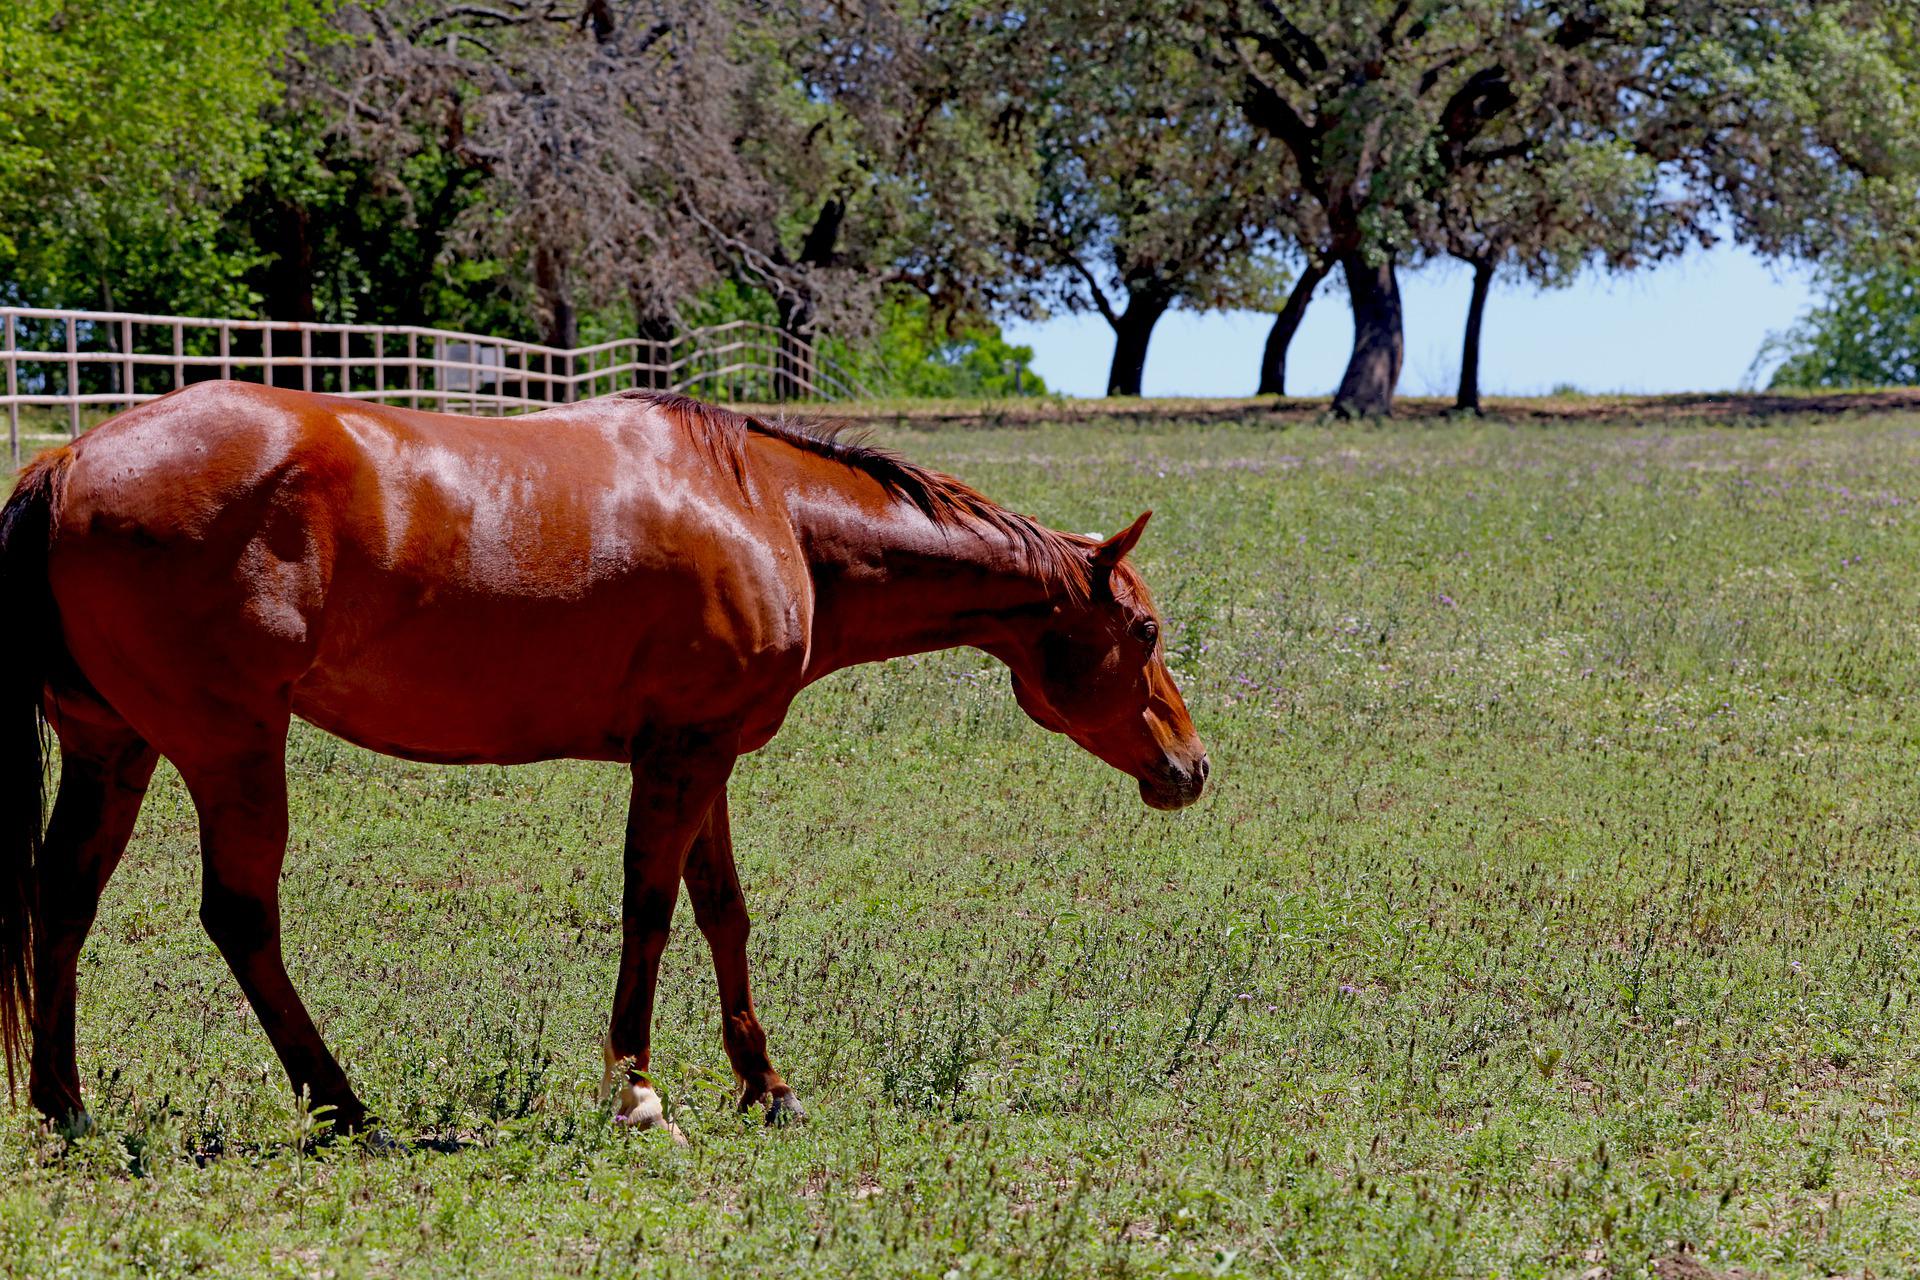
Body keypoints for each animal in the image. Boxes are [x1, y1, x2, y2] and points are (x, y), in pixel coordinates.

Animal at [0, 379, 1205, 1128]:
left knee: (63, 902)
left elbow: (723, 913)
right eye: (1145, 631)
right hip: (232, 747)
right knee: (242, 918)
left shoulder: (707, 753)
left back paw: (66, 1106)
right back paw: (344, 1103)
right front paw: (637, 1088)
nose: (1189, 768)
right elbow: (651, 909)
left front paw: (766, 1083)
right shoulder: (679, 757)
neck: (765, 506)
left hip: (117, 747)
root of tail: (69, 455)